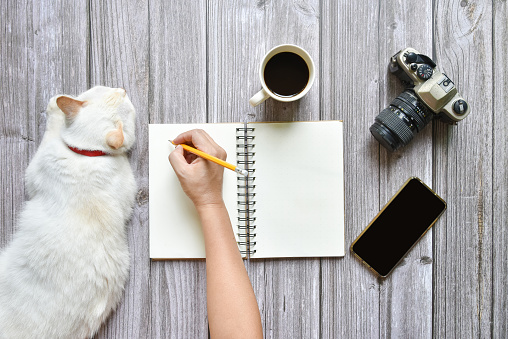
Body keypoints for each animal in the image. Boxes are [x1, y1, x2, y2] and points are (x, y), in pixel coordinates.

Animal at [0, 86, 137, 338]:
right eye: (102, 88)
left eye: (124, 98)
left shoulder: (36, 168)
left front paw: (54, 105)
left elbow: (53, 132)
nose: (122, 88)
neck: (86, 154)